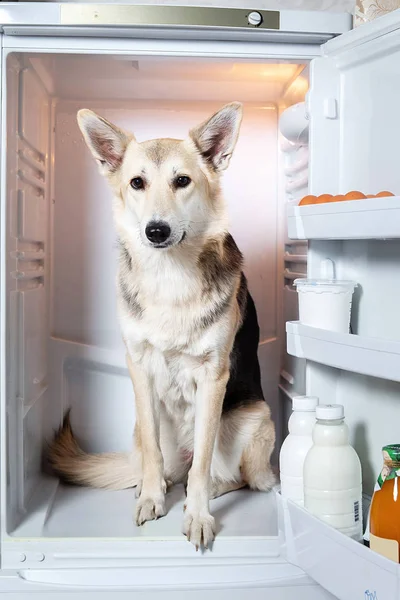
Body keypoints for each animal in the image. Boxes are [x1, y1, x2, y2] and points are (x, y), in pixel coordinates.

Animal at [49, 102, 276, 548]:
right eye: (137, 183)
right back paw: (154, 484)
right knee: (164, 464)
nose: (156, 231)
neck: (171, 275)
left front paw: (198, 515)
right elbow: (154, 455)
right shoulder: (139, 367)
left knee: (231, 475)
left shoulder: (213, 377)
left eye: (182, 181)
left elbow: (203, 462)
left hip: (258, 419)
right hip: (141, 425)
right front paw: (152, 498)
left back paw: (203, 491)